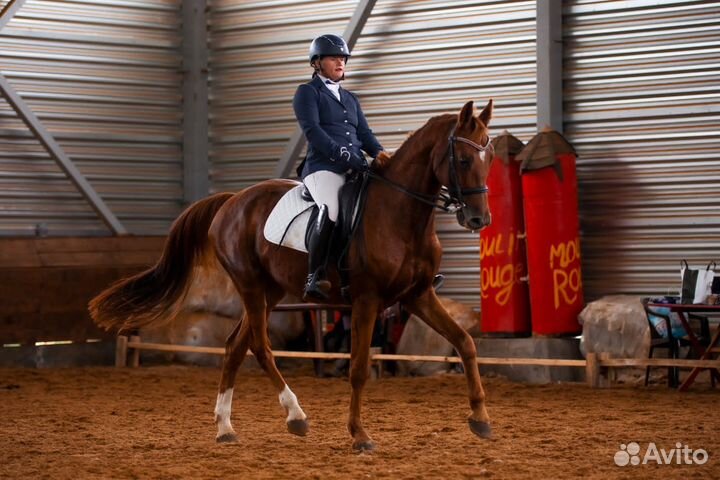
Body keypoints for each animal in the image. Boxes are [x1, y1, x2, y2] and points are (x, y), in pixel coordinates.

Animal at [89, 99, 495, 451]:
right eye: (462, 159)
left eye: (489, 158)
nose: (479, 219)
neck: (400, 215)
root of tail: (231, 200)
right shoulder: (366, 300)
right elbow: (359, 368)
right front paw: (359, 435)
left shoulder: (418, 295)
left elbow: (465, 343)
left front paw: (481, 419)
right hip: (251, 286)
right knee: (260, 346)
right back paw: (295, 416)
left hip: (269, 292)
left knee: (235, 346)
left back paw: (225, 428)